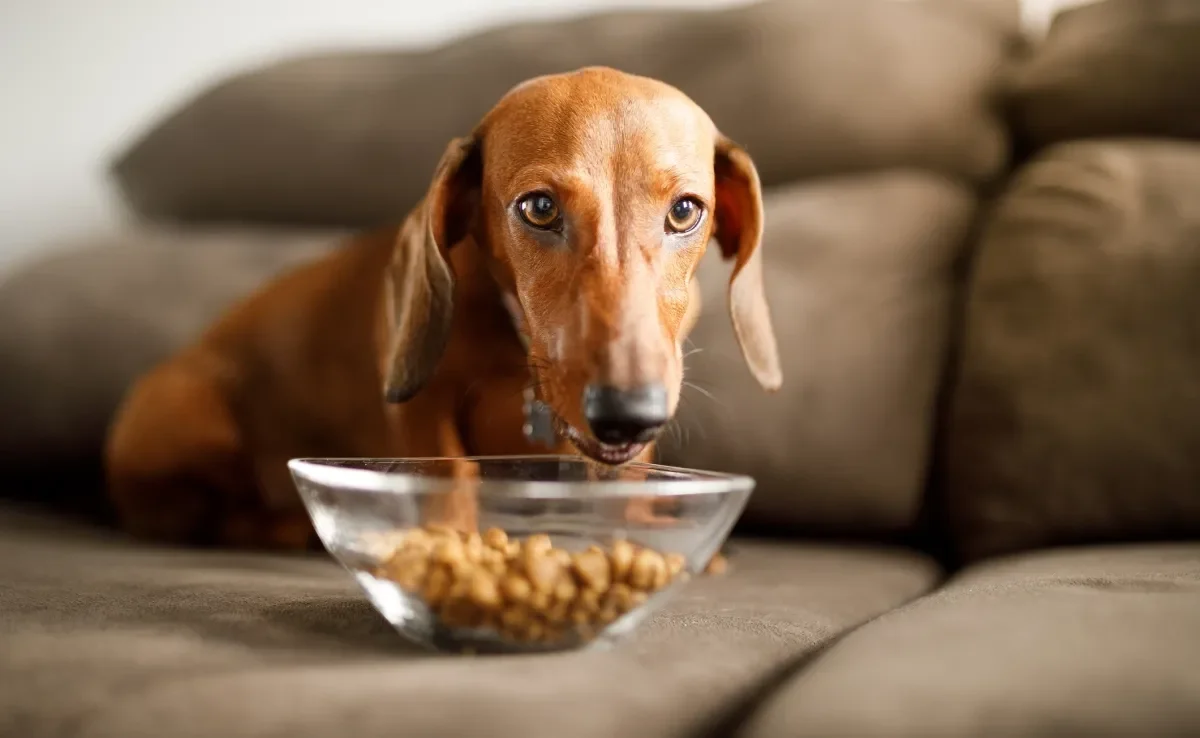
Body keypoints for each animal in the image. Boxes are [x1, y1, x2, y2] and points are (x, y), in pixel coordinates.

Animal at [100, 67, 777, 549]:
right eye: (539, 208)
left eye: (685, 211)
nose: (627, 416)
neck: (516, 350)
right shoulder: (423, 406)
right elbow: (450, 477)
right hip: (188, 414)